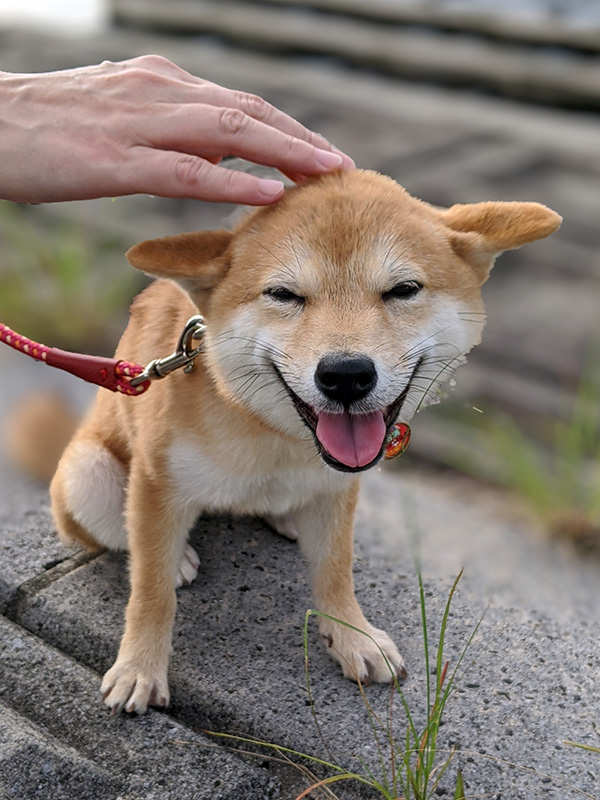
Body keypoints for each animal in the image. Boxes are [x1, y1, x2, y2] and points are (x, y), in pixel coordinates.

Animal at [49, 169, 560, 712]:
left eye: (403, 289)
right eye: (283, 294)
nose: (346, 374)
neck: (272, 433)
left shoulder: (338, 489)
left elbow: (335, 570)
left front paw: (354, 636)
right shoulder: (155, 483)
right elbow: (150, 591)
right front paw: (139, 668)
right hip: (87, 473)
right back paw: (179, 557)